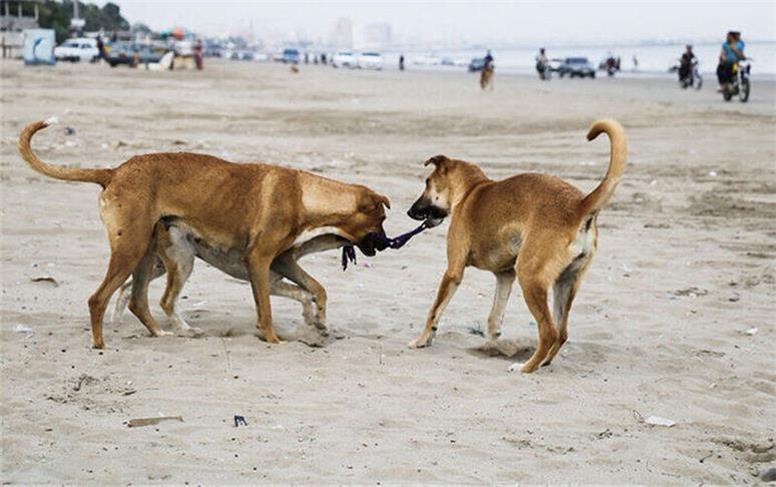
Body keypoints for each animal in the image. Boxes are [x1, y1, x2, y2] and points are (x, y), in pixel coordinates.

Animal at [20, 119, 392, 348]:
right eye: (383, 220)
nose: (388, 244)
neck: (305, 195)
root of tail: (114, 171)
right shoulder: (260, 262)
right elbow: (268, 309)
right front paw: (274, 338)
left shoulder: (282, 263)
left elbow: (315, 290)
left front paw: (318, 322)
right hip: (137, 250)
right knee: (105, 298)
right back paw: (102, 342)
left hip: (151, 256)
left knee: (138, 299)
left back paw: (163, 333)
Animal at [404, 118, 628, 374]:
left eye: (427, 182)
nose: (409, 211)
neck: (471, 189)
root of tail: (579, 206)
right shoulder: (505, 276)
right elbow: (494, 320)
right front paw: (490, 345)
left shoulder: (453, 271)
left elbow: (434, 311)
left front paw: (421, 340)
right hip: (565, 283)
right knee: (561, 333)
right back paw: (543, 362)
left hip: (530, 277)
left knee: (549, 332)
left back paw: (525, 367)